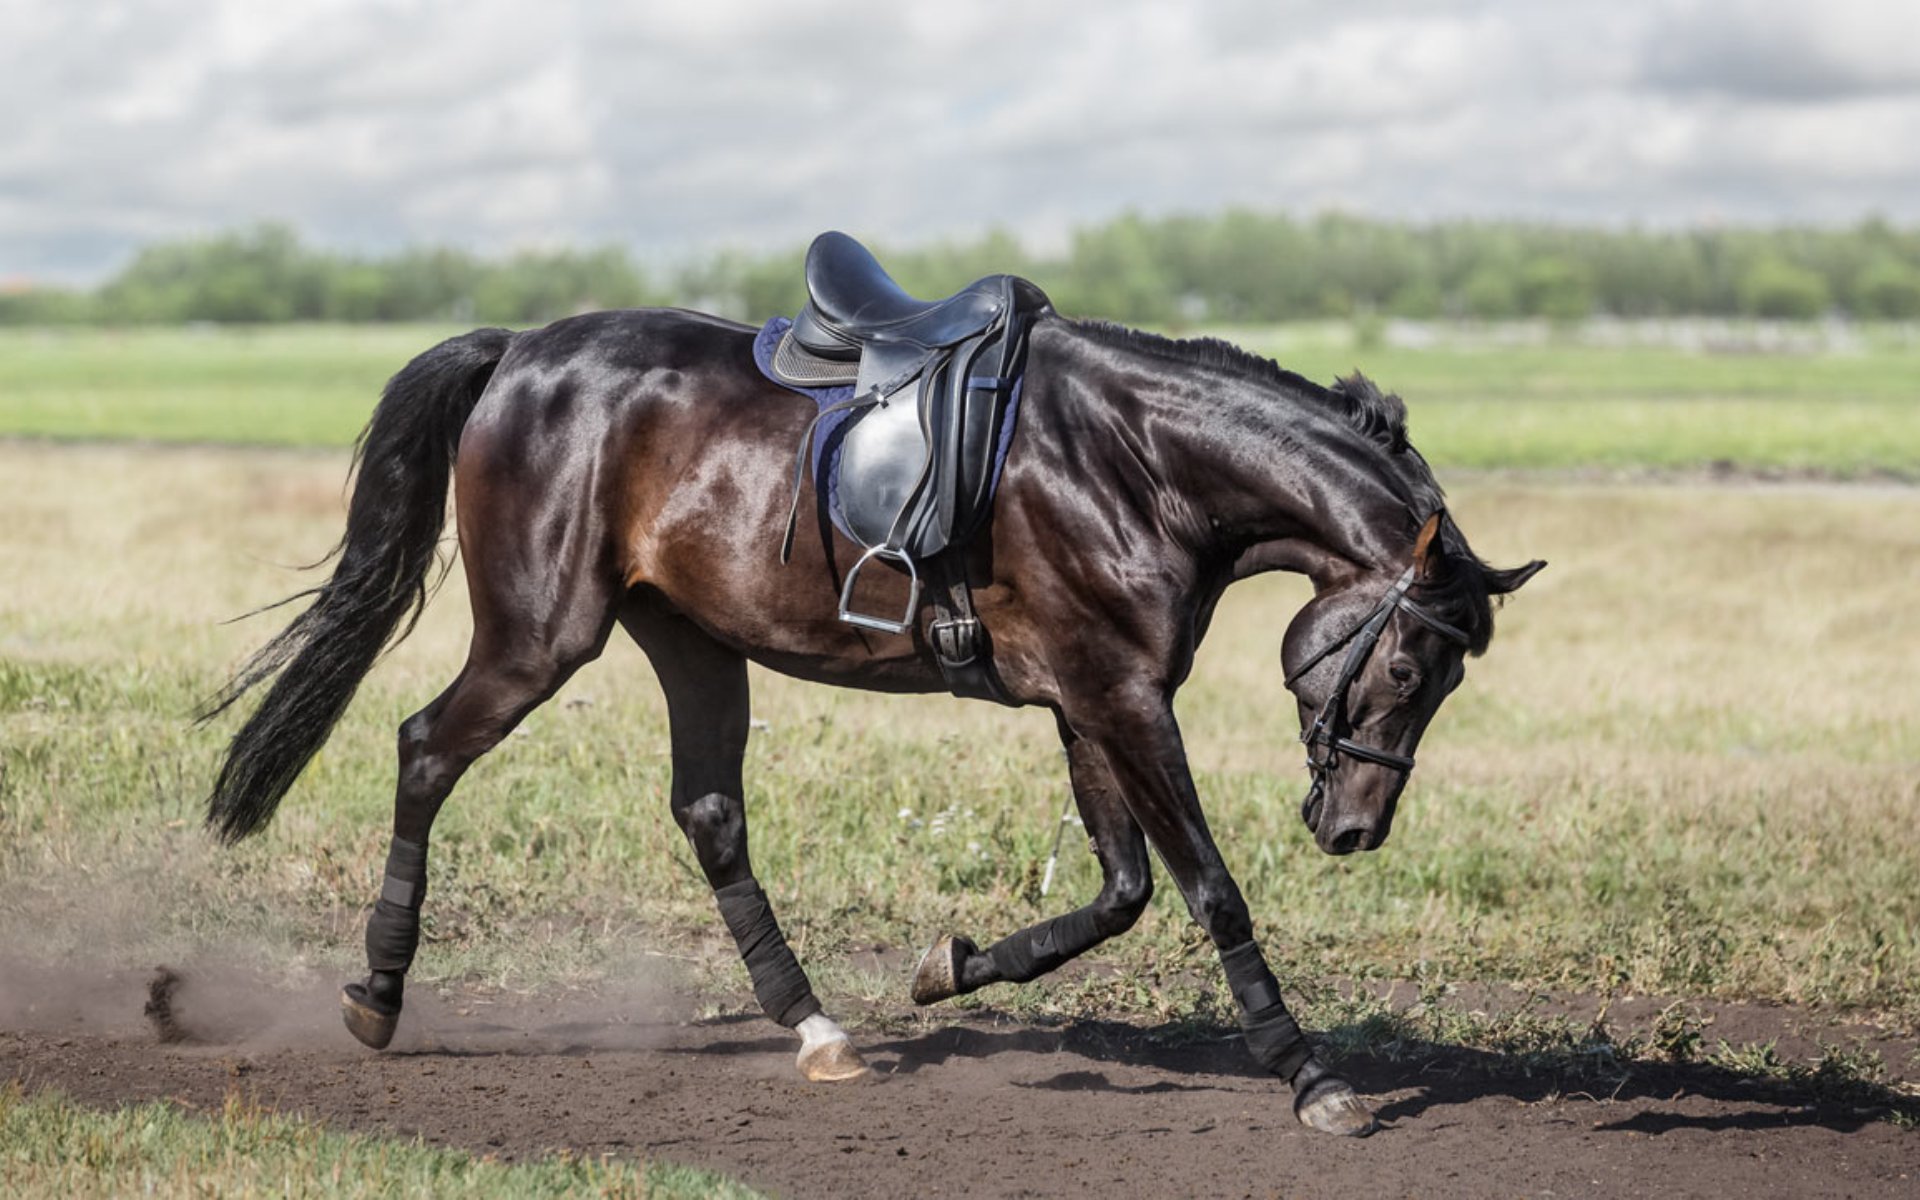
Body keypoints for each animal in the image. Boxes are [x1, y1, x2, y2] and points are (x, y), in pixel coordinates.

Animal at [198, 303, 1543, 1136]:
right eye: (1412, 665)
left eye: (1447, 679)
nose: (1353, 829)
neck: (1139, 459)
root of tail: (520, 350)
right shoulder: (1120, 697)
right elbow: (1208, 889)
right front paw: (1309, 1076)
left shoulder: (1087, 700)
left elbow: (1119, 891)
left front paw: (949, 970)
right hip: (542, 635)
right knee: (426, 750)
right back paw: (377, 994)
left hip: (692, 642)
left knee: (709, 812)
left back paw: (816, 1028)